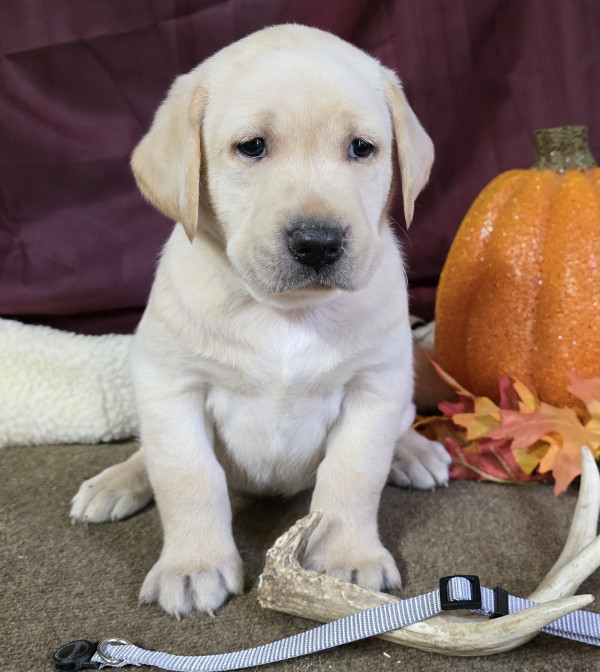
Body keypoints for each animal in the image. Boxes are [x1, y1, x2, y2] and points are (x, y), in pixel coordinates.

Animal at [70, 23, 450, 616]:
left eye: (361, 148)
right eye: (252, 147)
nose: (318, 242)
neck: (284, 313)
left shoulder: (375, 386)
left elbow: (354, 472)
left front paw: (347, 557)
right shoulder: (171, 386)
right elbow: (186, 475)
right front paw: (193, 566)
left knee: (402, 425)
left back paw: (414, 453)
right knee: (149, 455)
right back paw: (116, 482)